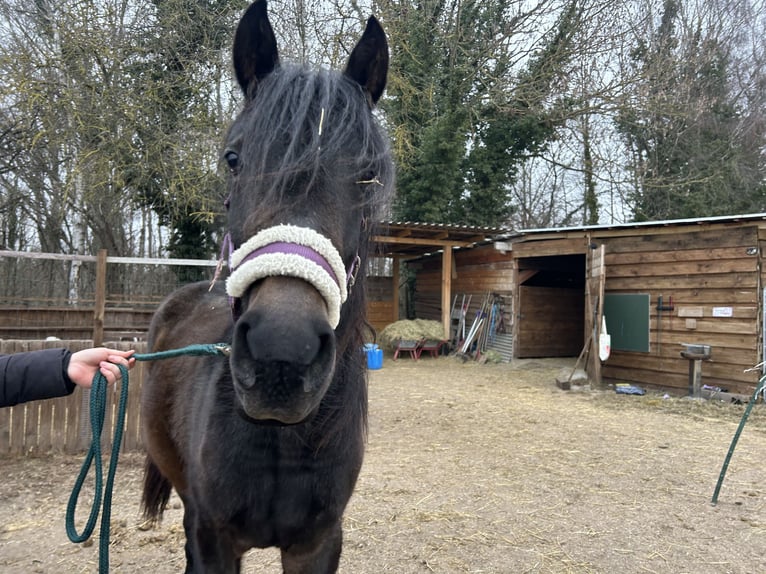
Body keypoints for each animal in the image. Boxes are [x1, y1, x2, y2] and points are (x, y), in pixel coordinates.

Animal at [139, 1, 393, 572]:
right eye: (233, 158)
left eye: (368, 174)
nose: (283, 353)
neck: (282, 442)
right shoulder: (213, 538)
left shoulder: (318, 544)